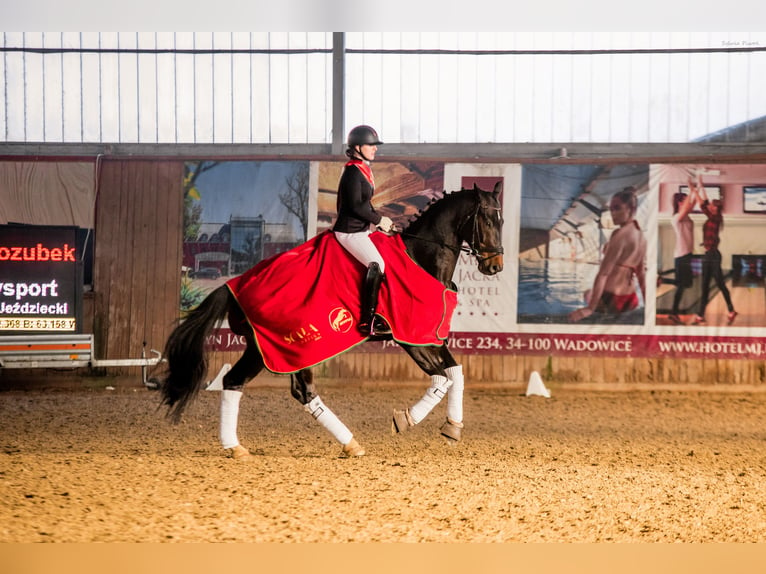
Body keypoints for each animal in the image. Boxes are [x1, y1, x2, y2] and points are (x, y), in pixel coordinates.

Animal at [160, 182, 508, 462]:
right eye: (488, 220)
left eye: (502, 220)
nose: (495, 266)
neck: (420, 257)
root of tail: (235, 287)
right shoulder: (410, 338)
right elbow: (442, 379)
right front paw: (406, 419)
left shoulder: (430, 336)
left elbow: (456, 373)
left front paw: (452, 428)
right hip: (268, 349)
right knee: (235, 381)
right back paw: (235, 448)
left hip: (293, 350)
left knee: (302, 391)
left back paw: (350, 444)